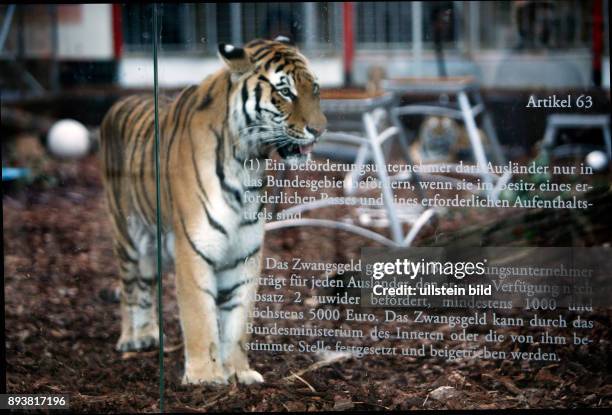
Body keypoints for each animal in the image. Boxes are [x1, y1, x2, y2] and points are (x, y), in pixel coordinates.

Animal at [98, 36, 328, 386]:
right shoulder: (194, 247)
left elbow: (237, 319)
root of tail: (118, 103)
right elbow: (199, 315)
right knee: (128, 288)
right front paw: (205, 377)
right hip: (126, 235)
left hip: (151, 245)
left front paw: (238, 372)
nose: (320, 130)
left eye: (314, 87)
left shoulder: (245, 252)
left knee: (147, 286)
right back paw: (131, 339)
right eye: (285, 91)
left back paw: (150, 334)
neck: (248, 162)